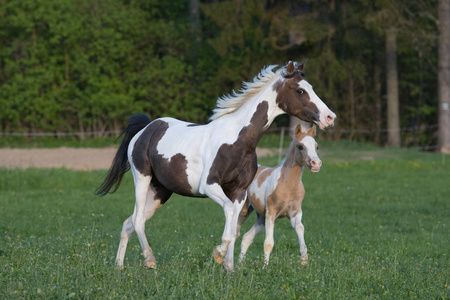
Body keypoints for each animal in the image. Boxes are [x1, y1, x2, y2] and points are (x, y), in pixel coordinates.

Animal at [237, 123, 322, 266]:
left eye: (316, 146)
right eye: (300, 146)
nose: (316, 164)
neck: (288, 185)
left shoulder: (295, 212)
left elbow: (300, 230)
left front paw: (304, 261)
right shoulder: (271, 212)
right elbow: (268, 242)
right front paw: (265, 267)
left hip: (261, 218)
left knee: (246, 237)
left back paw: (240, 264)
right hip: (244, 210)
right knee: (234, 232)